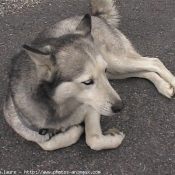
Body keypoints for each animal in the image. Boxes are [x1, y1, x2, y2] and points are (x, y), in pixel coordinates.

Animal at [3, 0, 175, 150]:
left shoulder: (91, 108)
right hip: (114, 72)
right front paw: (73, 131)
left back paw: (170, 82)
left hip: (115, 63)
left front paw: (111, 137)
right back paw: (163, 86)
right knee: (145, 71)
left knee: (154, 61)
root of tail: (96, 16)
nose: (120, 107)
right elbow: (47, 145)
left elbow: (93, 140)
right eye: (87, 82)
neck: (59, 107)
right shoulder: (31, 130)